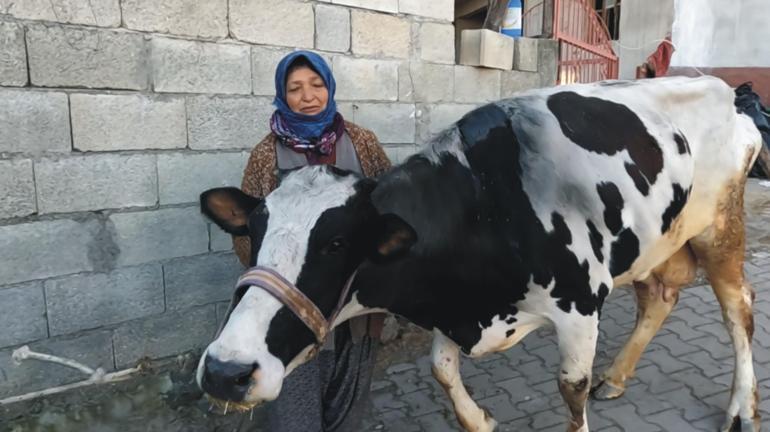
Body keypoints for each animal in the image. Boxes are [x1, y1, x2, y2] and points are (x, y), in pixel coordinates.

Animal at [195, 76, 760, 430]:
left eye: (336, 244)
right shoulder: (452, 306)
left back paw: (743, 408)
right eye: (255, 232)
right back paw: (618, 378)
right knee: (660, 299)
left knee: (739, 310)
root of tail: (728, 93)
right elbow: (442, 371)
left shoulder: (579, 307)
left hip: (721, 225)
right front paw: (481, 418)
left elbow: (570, 389)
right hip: (654, 243)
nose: (225, 371)